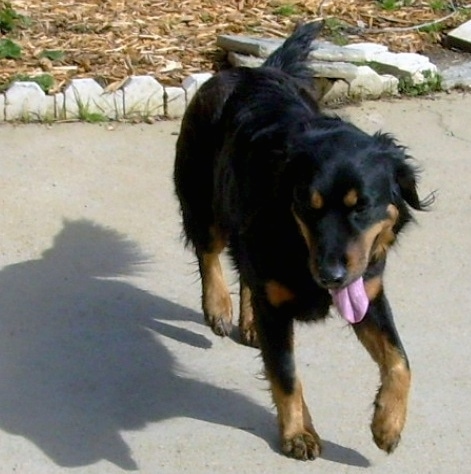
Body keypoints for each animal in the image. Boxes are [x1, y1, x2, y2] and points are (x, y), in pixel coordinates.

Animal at [172, 20, 432, 462]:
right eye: (307, 207)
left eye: (362, 206)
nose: (330, 276)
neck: (300, 247)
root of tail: (254, 70)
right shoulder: (278, 303)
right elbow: (286, 373)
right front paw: (298, 432)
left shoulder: (367, 290)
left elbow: (401, 360)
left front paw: (387, 423)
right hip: (201, 194)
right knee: (209, 249)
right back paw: (219, 307)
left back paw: (248, 321)